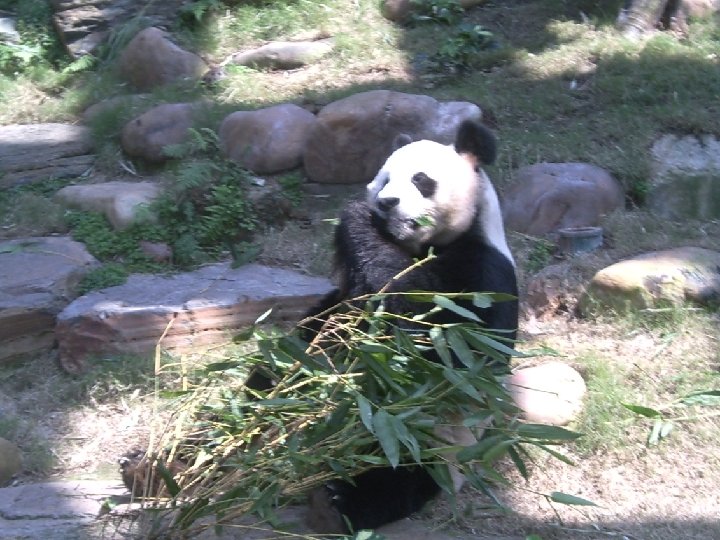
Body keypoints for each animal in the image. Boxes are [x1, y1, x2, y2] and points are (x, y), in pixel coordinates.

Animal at [303, 118, 519, 534]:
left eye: (421, 180)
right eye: (384, 179)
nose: (386, 204)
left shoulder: (483, 276)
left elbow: (438, 347)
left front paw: (359, 218)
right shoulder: (344, 299)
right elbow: (331, 320)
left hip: (422, 433)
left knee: (399, 469)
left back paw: (339, 500)